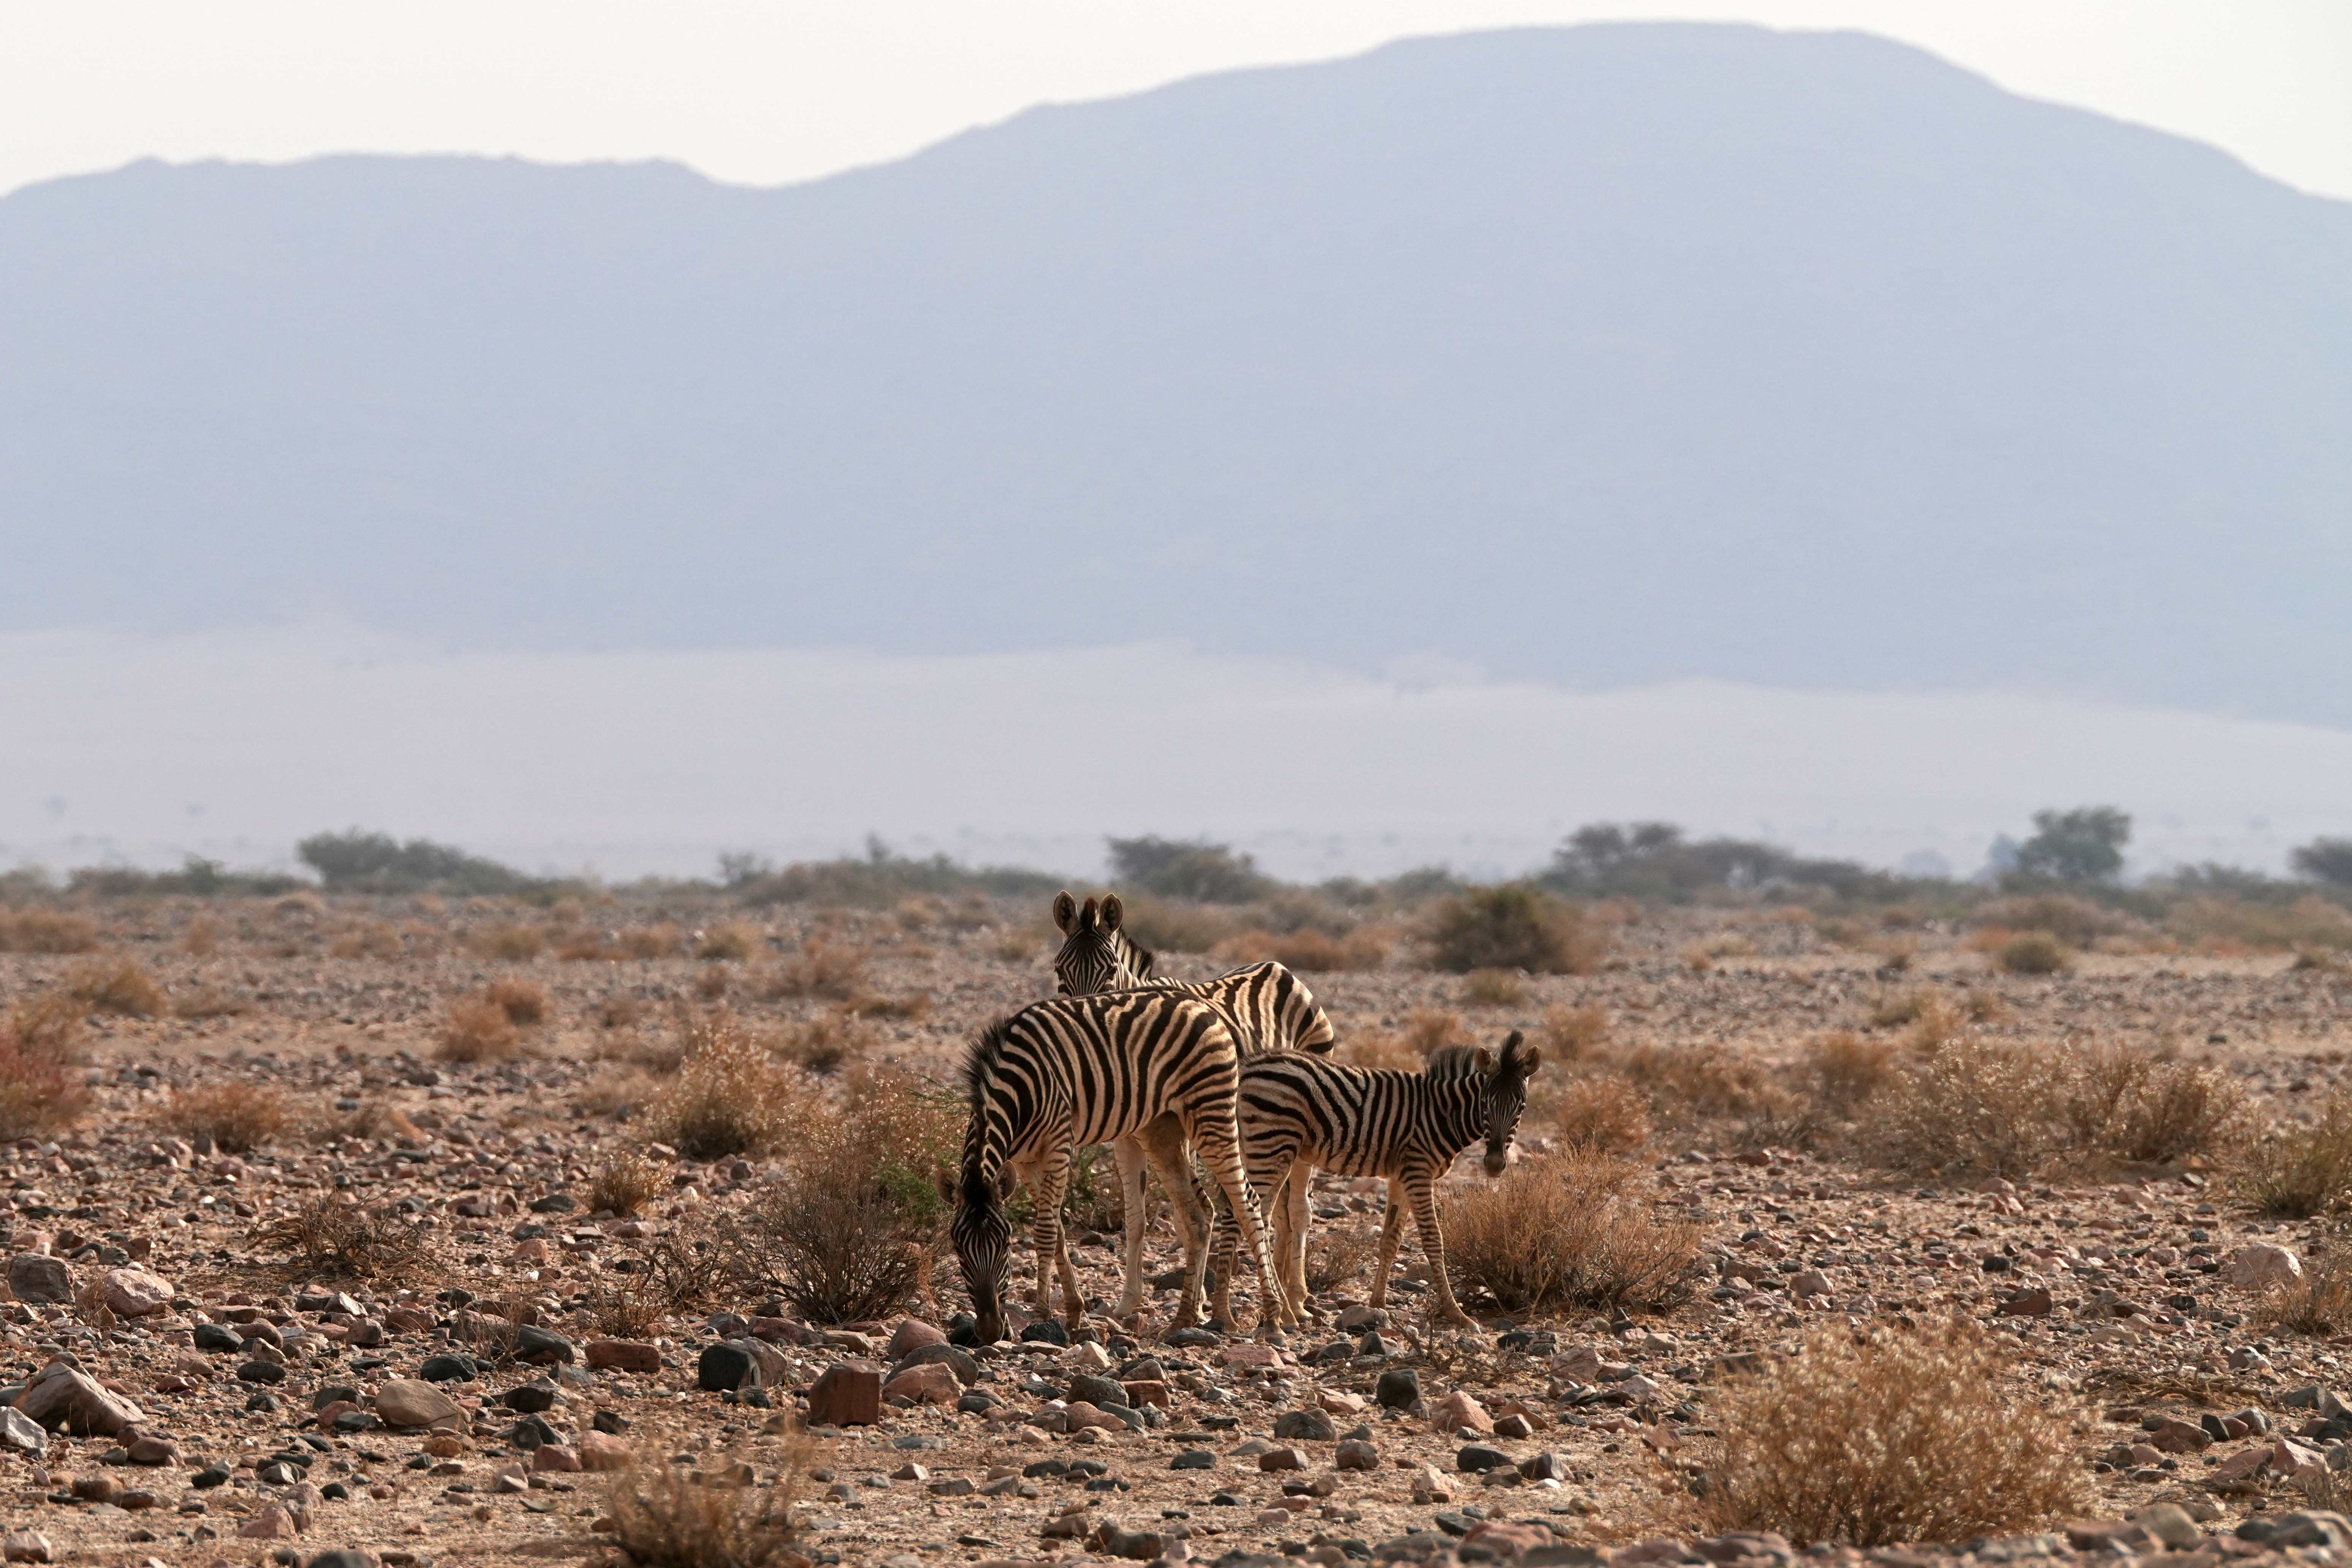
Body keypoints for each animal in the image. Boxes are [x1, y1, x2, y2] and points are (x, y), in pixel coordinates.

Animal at [940, 987, 1290, 1343]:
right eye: (957, 1248)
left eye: (1005, 1244)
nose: (989, 1331)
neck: (1017, 1088)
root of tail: (1204, 1007)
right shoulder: (1026, 1161)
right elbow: (1059, 1230)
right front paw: (1074, 1312)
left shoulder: (1057, 1144)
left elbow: (1046, 1230)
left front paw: (1040, 1315)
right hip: (1162, 1129)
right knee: (1199, 1214)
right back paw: (1183, 1319)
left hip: (1211, 1113)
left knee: (1248, 1203)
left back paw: (1273, 1318)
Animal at [1048, 890, 1339, 1322]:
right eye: (1060, 972)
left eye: (1110, 971)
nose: (1085, 1028)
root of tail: (1280, 968)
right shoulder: (1127, 1138)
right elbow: (1137, 1219)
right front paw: (1129, 1303)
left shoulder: (1178, 1129)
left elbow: (1192, 1215)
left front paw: (1197, 1305)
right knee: (1279, 1211)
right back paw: (1284, 1297)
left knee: (1299, 1208)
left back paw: (1295, 1301)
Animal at [1210, 1029, 1542, 1327]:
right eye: (1485, 1104)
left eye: (1521, 1108)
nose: (1495, 1164)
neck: (1442, 1113)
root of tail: (1249, 1066)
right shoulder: (1419, 1171)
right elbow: (1433, 1239)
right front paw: (1457, 1314)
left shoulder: (1402, 1175)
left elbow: (1391, 1239)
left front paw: (1378, 1304)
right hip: (1270, 1145)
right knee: (1244, 1216)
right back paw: (1234, 1314)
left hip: (1270, 1149)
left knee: (1255, 1215)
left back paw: (1264, 1312)